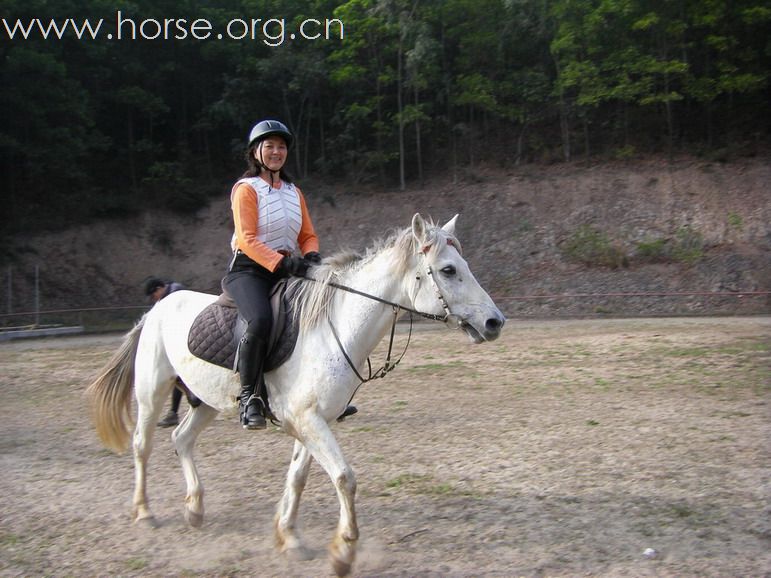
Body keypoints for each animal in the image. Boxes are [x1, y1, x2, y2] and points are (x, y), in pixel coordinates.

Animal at [87, 214, 506, 572]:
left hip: (207, 401)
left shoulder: (313, 421)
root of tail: (158, 307)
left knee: (181, 438)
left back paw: (194, 509)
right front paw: (344, 551)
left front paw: (289, 538)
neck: (334, 328)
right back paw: (144, 512)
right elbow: (344, 477)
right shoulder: (307, 420)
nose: (495, 322)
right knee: (143, 446)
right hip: (152, 391)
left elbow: (298, 478)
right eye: (449, 270)